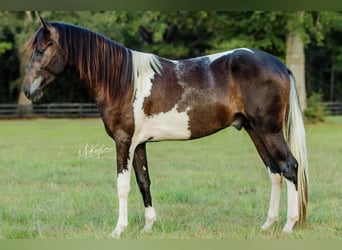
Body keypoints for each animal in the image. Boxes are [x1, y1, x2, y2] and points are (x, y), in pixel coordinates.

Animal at [22, 16, 308, 237]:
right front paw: (147, 226)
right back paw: (267, 224)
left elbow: (123, 185)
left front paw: (118, 230)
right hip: (255, 131)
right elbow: (143, 182)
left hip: (269, 131)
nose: (27, 90)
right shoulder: (138, 144)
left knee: (290, 167)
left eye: (40, 50)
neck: (122, 80)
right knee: (274, 172)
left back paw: (289, 225)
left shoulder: (123, 141)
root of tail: (280, 65)